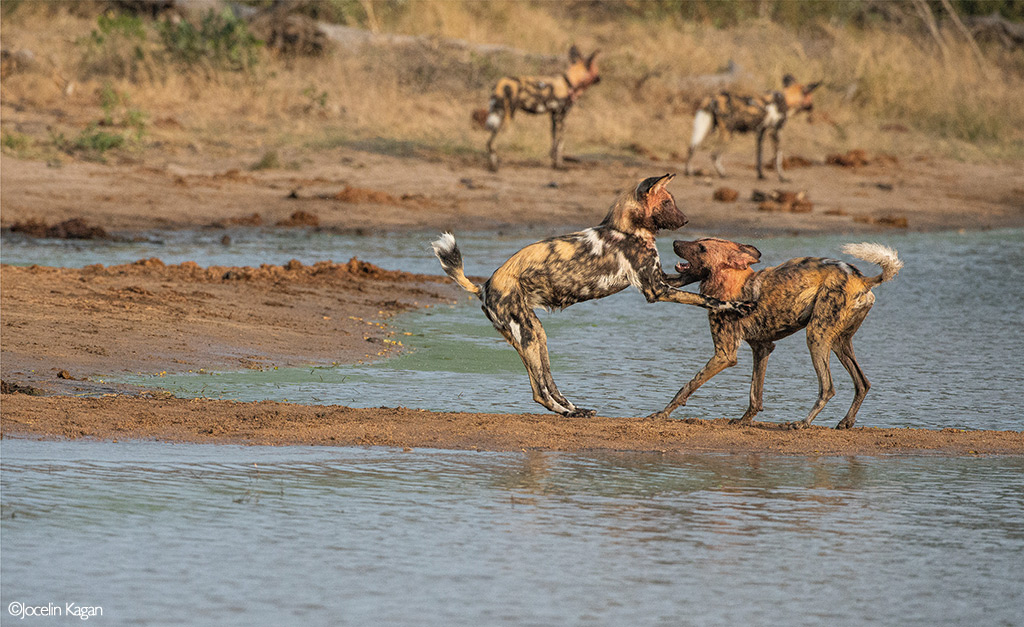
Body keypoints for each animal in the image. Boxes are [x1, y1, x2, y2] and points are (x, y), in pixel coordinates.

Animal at [432, 174, 753, 418]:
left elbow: (689, 278)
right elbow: (708, 300)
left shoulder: (659, 279)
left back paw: (576, 410)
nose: (685, 221)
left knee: (546, 383)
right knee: (539, 391)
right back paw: (570, 413)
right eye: (667, 203)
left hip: (534, 334)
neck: (628, 229)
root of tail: (484, 286)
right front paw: (738, 305)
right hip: (526, 334)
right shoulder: (656, 290)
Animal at [651, 237, 901, 428]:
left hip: (816, 337)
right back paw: (845, 422)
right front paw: (743, 421)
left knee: (827, 387)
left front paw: (662, 414)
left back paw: (802, 423)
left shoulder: (724, 355)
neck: (729, 283)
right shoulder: (762, 348)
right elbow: (755, 395)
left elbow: (686, 387)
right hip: (840, 342)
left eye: (701, 247)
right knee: (862, 383)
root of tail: (863, 279)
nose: (674, 241)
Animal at [684, 74, 819, 181]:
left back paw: (688, 172)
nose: (812, 107)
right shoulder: (775, 132)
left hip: (704, 129)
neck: (786, 99)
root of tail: (713, 97)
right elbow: (778, 158)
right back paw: (723, 174)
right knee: (714, 155)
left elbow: (759, 157)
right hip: (728, 133)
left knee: (691, 148)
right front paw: (782, 178)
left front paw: (761, 176)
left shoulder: (760, 133)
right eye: (811, 97)